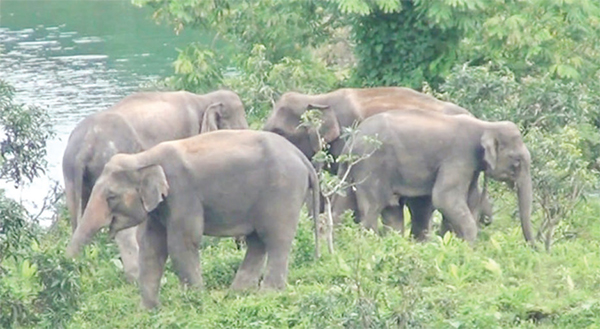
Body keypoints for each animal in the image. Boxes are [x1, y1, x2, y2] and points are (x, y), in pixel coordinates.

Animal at [62, 90, 247, 282]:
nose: (239, 245)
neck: (204, 98)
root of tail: (85, 144)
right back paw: (135, 277)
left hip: (70, 174)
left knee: (77, 214)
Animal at [64, 130, 318, 308]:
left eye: (111, 197)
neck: (143, 156)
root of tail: (302, 157)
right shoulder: (160, 205)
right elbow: (151, 247)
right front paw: (148, 310)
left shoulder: (183, 192)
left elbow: (182, 243)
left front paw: (195, 302)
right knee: (257, 241)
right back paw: (237, 293)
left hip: (283, 191)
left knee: (276, 239)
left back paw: (268, 293)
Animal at [332, 109, 536, 245]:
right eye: (517, 161)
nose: (534, 248)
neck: (486, 125)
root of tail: (351, 141)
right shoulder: (459, 157)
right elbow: (444, 198)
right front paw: (469, 248)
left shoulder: (471, 167)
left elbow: (468, 200)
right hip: (371, 165)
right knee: (371, 209)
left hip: (353, 170)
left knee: (347, 207)